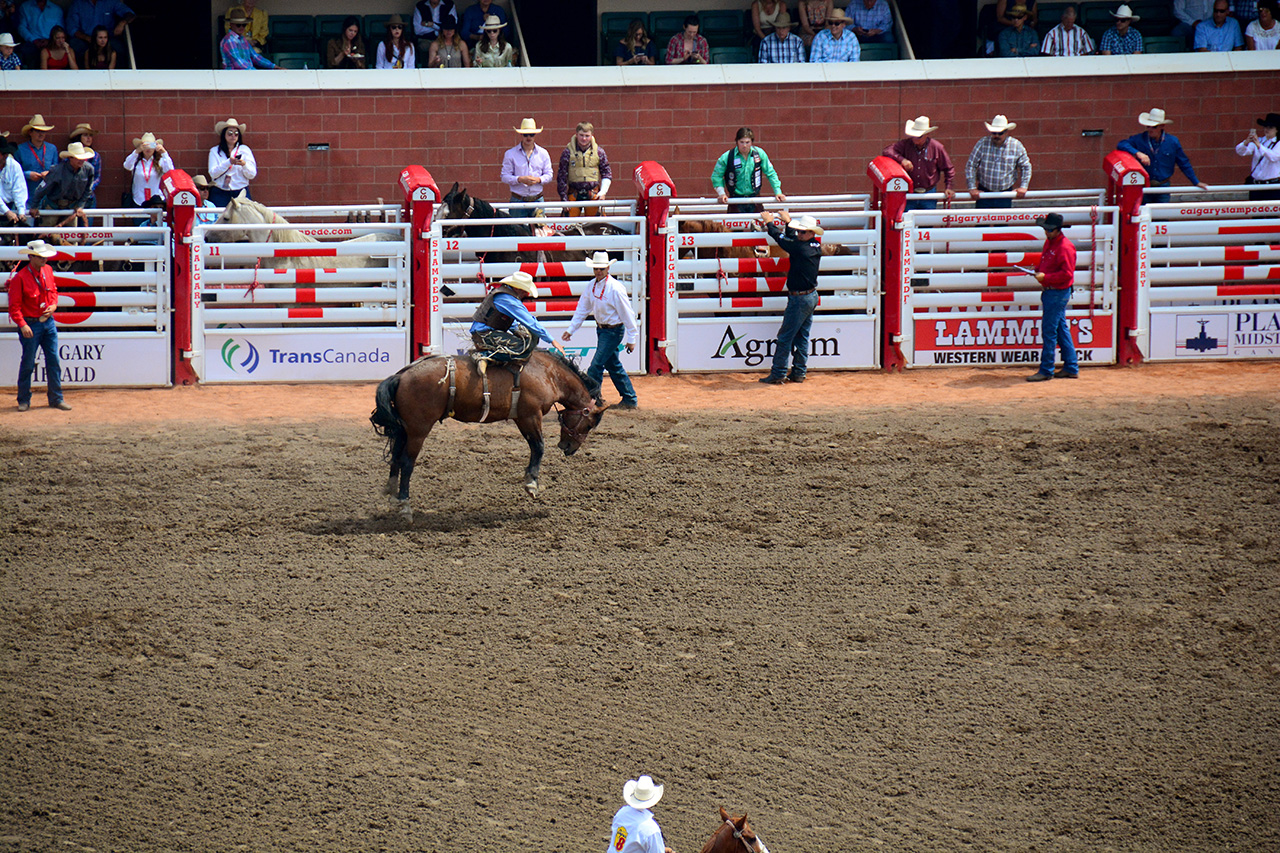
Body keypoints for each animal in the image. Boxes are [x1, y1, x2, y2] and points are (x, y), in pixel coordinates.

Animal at [371, 348, 609, 517]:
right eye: (589, 425)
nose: (568, 448)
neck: (548, 374)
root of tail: (401, 376)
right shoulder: (529, 416)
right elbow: (539, 447)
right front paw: (531, 483)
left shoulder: (522, 418)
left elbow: (535, 446)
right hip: (418, 430)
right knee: (407, 462)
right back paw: (405, 505)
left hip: (405, 428)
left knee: (396, 456)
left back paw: (392, 495)